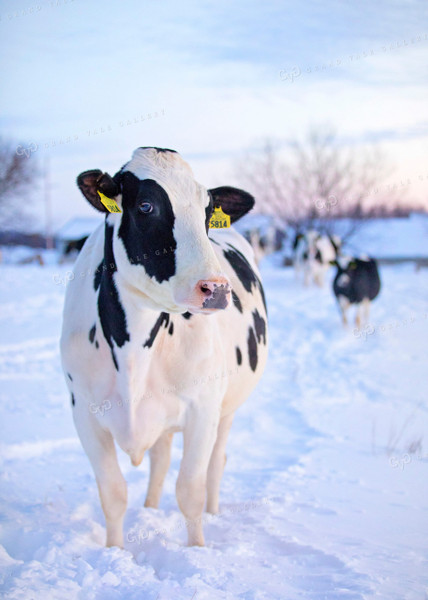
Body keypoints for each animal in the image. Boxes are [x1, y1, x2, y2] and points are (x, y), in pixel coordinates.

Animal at [60, 145, 268, 548]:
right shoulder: (84, 412)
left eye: (207, 210)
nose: (216, 289)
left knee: (216, 463)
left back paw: (212, 513)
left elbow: (190, 489)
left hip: (228, 405)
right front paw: (114, 551)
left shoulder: (203, 408)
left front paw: (197, 550)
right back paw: (151, 510)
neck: (132, 353)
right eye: (146, 206)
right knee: (159, 459)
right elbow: (113, 493)